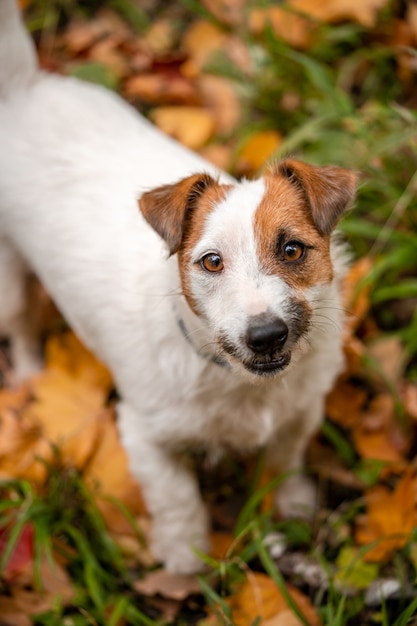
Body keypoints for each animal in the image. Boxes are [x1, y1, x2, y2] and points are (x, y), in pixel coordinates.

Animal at [0, 0, 354, 572]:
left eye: (292, 250)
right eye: (211, 262)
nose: (266, 336)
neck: (236, 380)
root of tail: (21, 89)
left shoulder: (300, 412)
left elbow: (284, 459)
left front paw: (292, 506)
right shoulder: (146, 437)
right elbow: (179, 502)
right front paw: (187, 565)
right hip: (8, 279)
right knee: (22, 330)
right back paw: (32, 380)